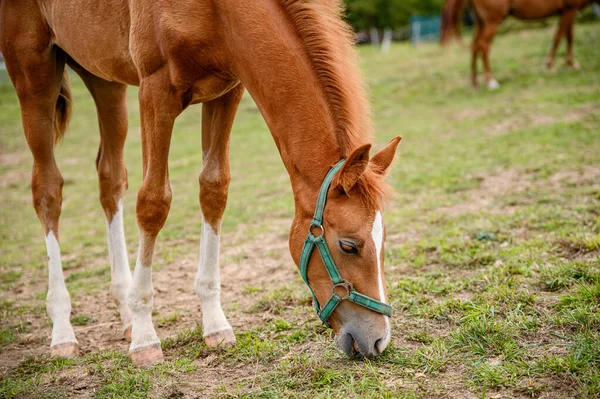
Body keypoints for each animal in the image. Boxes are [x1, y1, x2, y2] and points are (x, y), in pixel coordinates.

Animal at [1, 0, 404, 368]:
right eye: (349, 245)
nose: (378, 340)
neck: (219, 11)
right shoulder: (155, 92)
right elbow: (153, 203)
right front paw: (145, 336)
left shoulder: (227, 91)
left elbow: (214, 189)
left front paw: (214, 324)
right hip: (33, 73)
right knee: (48, 190)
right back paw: (63, 330)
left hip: (104, 79)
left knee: (110, 179)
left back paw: (124, 310)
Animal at [438, 0, 596, 88]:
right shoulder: (570, 9)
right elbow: (559, 37)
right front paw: (551, 66)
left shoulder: (567, 11)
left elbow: (569, 37)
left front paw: (572, 64)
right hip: (492, 20)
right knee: (483, 45)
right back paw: (491, 81)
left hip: (481, 21)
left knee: (475, 45)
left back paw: (475, 82)